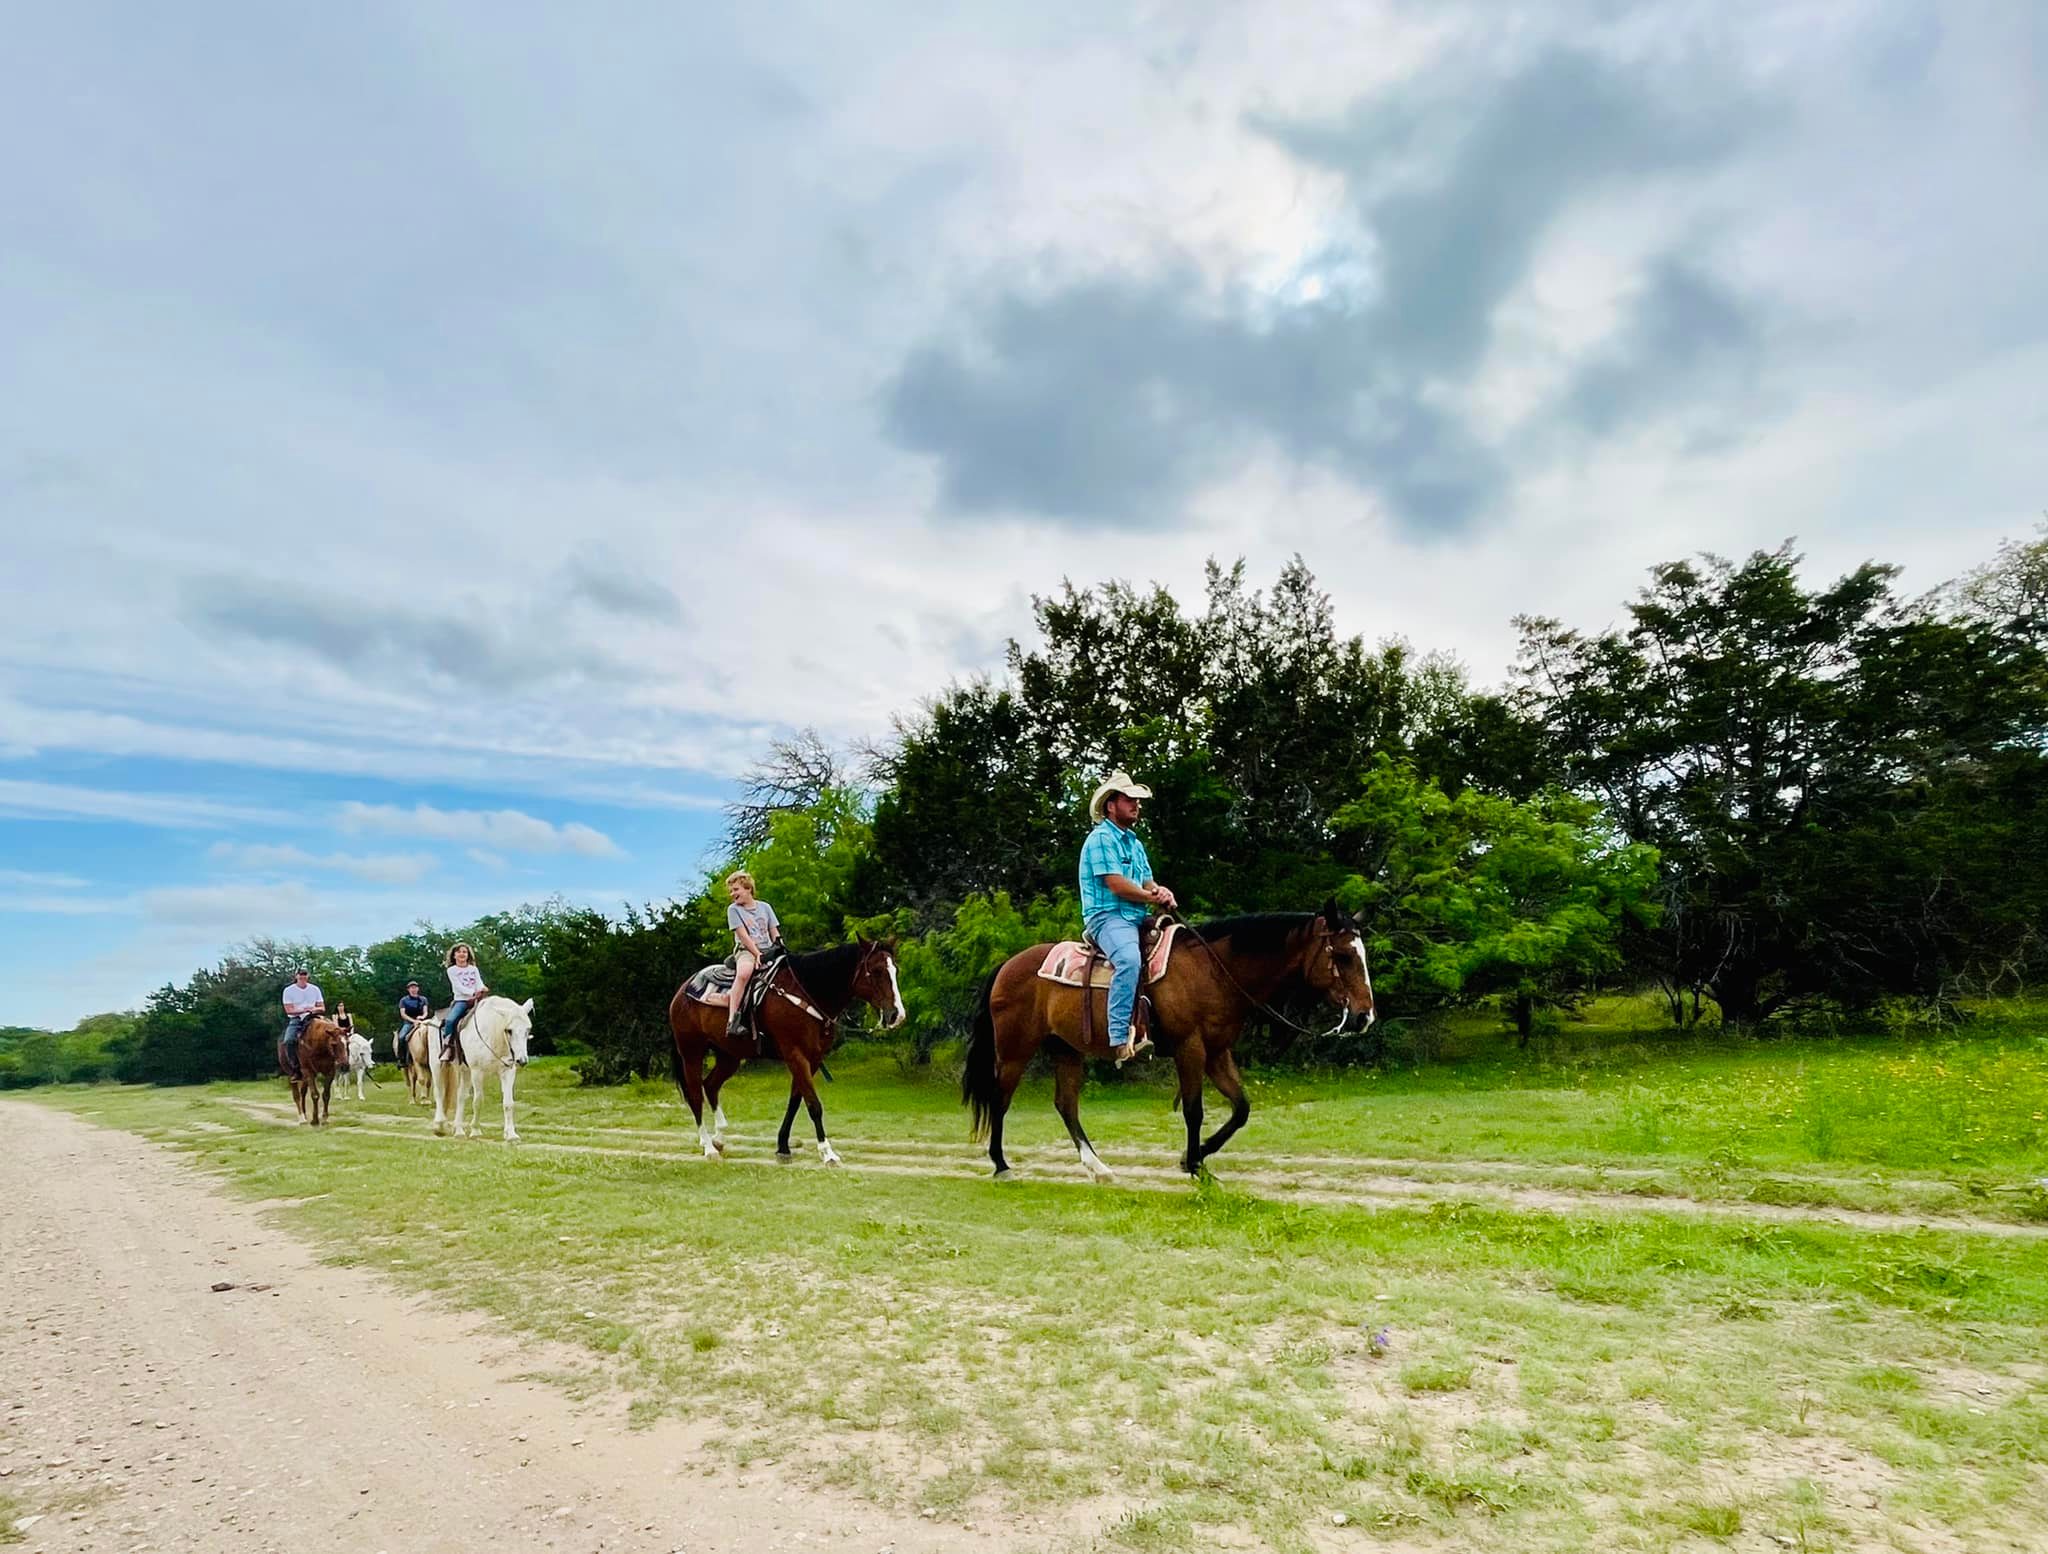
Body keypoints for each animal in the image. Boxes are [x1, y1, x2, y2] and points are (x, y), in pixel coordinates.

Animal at [663, 937, 905, 1162]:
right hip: (691, 1053)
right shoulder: (795, 1055)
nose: (897, 1015)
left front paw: (783, 1147)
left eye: (895, 969)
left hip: (729, 1056)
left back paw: (719, 1139)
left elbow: (796, 1101)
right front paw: (828, 1153)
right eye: (876, 971)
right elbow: (813, 1105)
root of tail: (683, 990)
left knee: (711, 1085)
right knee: (695, 1096)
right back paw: (709, 1148)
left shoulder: (812, 1059)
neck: (806, 993)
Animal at [958, 900, 1376, 1179]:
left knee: (1066, 1105)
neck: (1214, 971)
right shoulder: (1190, 1048)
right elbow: (1194, 1109)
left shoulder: (1217, 1052)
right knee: (1000, 1099)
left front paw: (1197, 1155)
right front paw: (1195, 1166)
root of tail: (1008, 965)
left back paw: (1099, 1168)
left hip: (1067, 1051)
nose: (1364, 1016)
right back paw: (1001, 1165)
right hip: (1014, 1050)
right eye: (1342, 955)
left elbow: (1240, 1108)